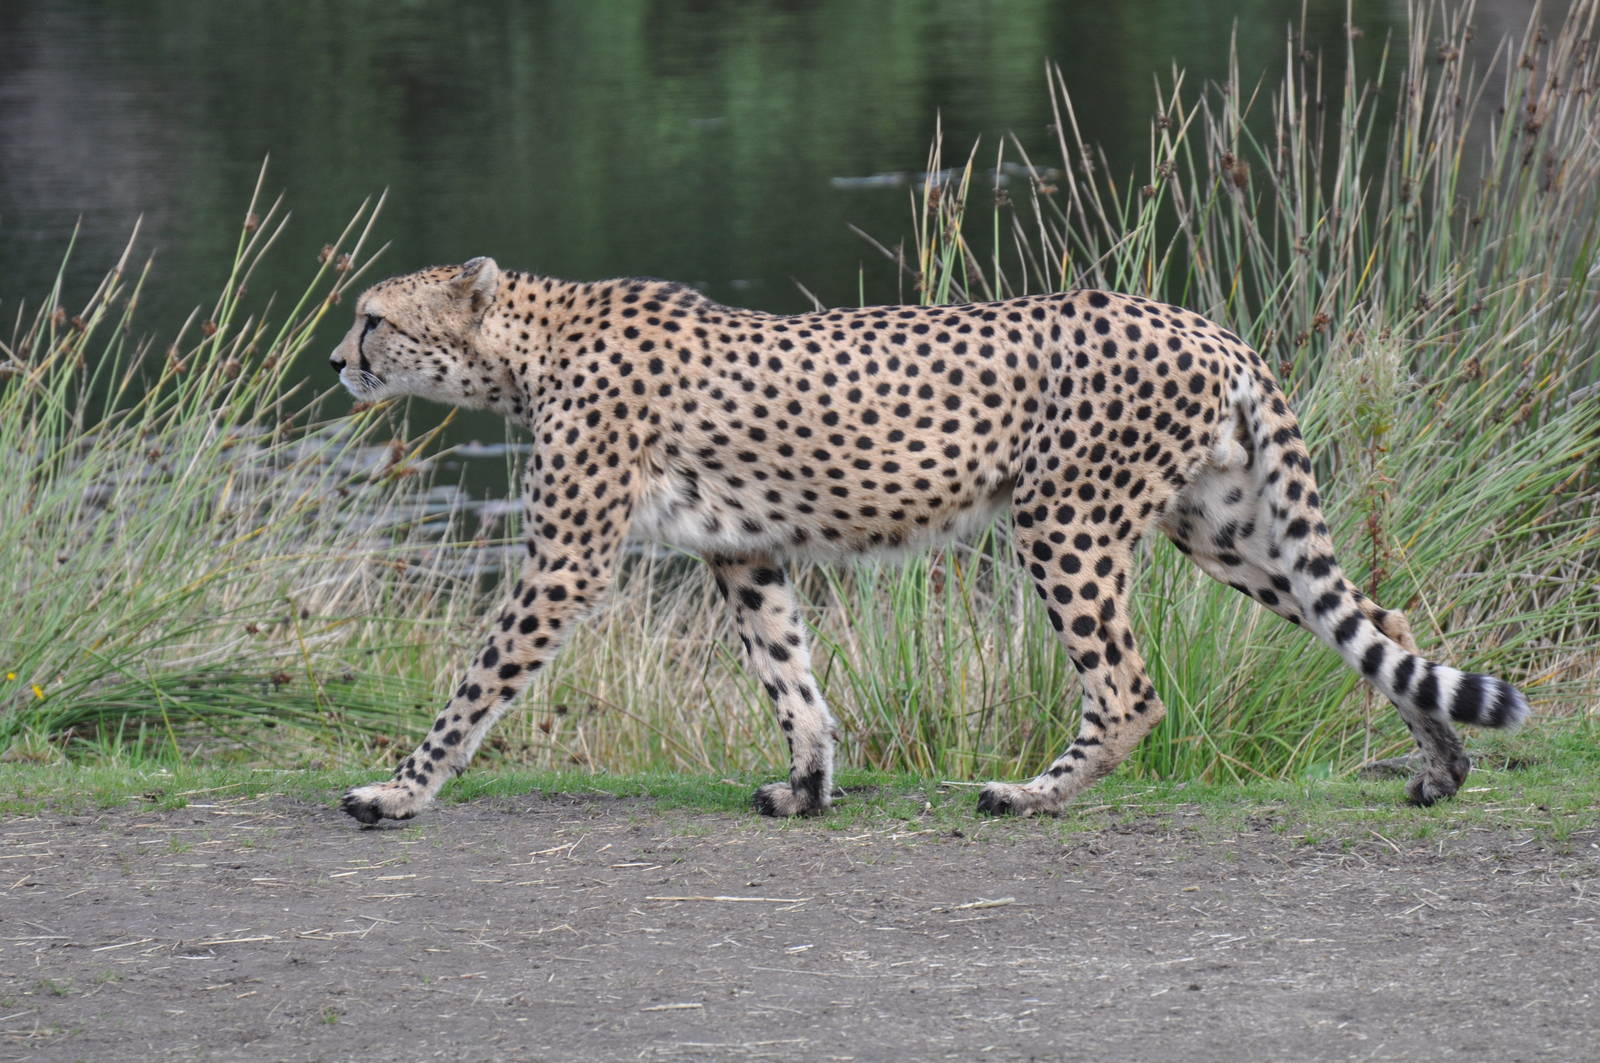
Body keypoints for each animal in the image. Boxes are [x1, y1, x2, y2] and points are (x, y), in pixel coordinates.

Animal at [330, 256, 1528, 824]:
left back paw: (1030, 794)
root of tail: (1201, 321)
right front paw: (807, 785)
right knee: (1375, 620)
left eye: (374, 318)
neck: (527, 346)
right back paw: (1442, 765)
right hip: (1222, 528)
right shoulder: (743, 551)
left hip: (1065, 518)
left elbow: (476, 682)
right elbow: (792, 677)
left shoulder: (566, 561)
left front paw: (399, 791)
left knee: (1130, 688)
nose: (340, 362)